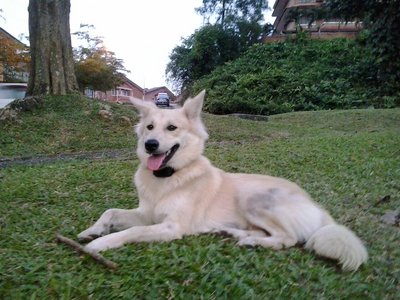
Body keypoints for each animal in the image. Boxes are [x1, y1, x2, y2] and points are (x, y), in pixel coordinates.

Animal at [79, 90, 368, 270]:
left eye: (172, 128)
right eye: (149, 127)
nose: (150, 145)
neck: (170, 177)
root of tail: (317, 208)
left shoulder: (172, 226)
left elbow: (131, 232)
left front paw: (98, 244)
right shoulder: (147, 214)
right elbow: (111, 211)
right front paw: (92, 230)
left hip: (253, 199)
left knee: (288, 238)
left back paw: (253, 241)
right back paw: (232, 232)